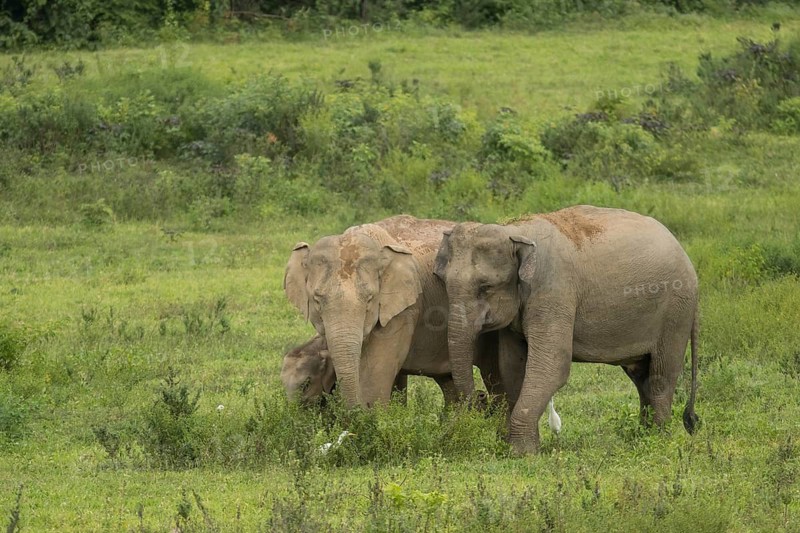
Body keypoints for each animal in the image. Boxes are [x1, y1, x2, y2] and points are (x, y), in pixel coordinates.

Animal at [434, 205, 699, 454]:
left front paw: (521, 453)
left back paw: (658, 440)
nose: (481, 399)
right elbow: (512, 366)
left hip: (675, 313)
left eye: (486, 287)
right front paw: (520, 446)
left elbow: (551, 366)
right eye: (442, 282)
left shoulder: (553, 292)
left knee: (660, 377)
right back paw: (642, 436)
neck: (515, 231)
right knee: (640, 376)